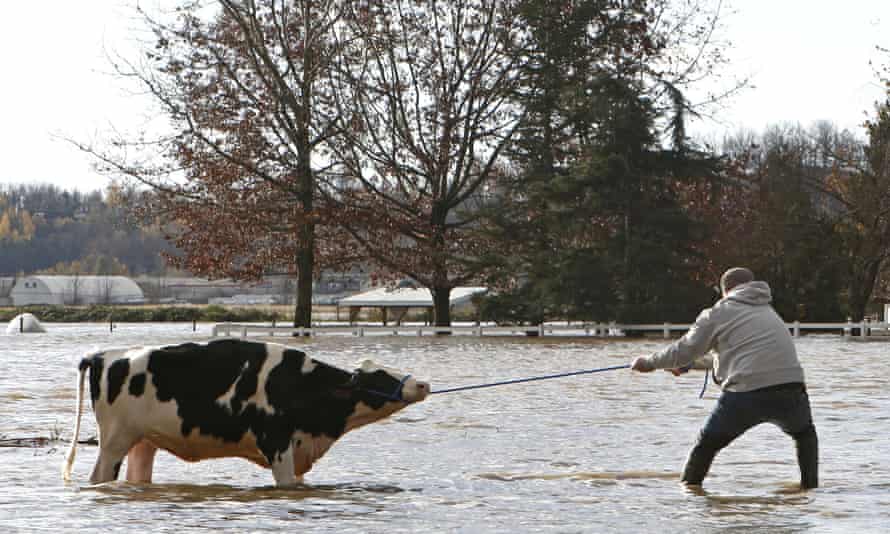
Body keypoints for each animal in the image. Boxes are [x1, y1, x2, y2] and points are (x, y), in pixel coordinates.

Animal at [60, 342, 428, 488]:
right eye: (380, 377)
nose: (422, 383)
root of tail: (103, 355)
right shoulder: (277, 444)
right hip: (114, 441)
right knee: (99, 476)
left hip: (142, 442)